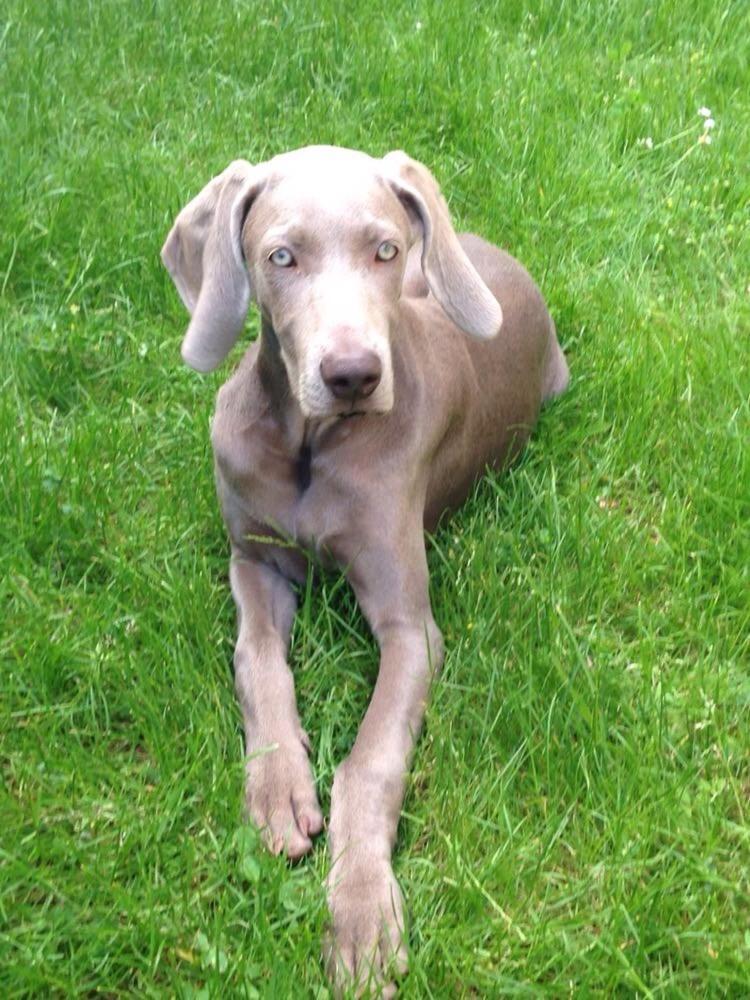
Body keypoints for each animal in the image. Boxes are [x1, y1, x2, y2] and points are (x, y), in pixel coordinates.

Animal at [160, 145, 568, 996]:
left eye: (383, 248)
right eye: (280, 256)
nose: (352, 375)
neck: (311, 443)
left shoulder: (410, 628)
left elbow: (372, 761)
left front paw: (359, 911)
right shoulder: (252, 559)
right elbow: (256, 659)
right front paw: (278, 785)